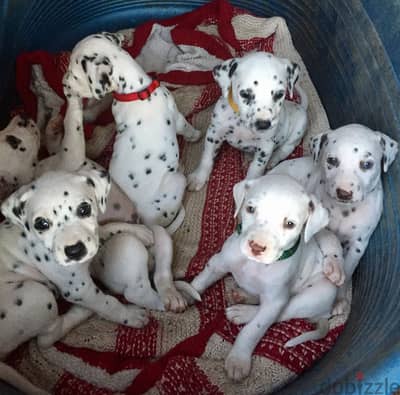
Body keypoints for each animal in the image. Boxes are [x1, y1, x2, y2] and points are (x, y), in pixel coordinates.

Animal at [0, 169, 200, 394]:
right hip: (38, 294)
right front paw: (130, 316)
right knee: (45, 339)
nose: (75, 251)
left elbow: (103, 228)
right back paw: (82, 311)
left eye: (84, 209)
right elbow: (108, 303)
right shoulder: (79, 289)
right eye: (41, 223)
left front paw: (135, 230)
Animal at [63, 33, 202, 235]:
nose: (64, 84)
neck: (137, 91)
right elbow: (188, 129)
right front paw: (197, 135)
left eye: (73, 75)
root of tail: (146, 222)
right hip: (177, 180)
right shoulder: (177, 117)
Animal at [189, 51, 308, 192]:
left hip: (298, 130)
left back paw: (273, 159)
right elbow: (206, 157)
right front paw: (198, 177)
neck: (241, 123)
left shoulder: (265, 147)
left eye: (279, 94)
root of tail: (301, 107)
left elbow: (255, 170)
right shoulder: (214, 134)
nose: (263, 124)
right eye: (245, 94)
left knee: (287, 148)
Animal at [190, 175, 344, 382]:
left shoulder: (274, 300)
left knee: (283, 313)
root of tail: (324, 314)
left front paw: (238, 360)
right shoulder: (219, 263)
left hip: (316, 293)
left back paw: (241, 312)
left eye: (290, 224)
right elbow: (202, 279)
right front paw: (184, 293)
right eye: (250, 209)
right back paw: (242, 296)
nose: (256, 247)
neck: (254, 264)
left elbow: (253, 330)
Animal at [270, 125, 398, 314]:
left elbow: (349, 269)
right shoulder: (317, 225)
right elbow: (330, 237)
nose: (344, 193)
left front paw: (340, 299)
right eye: (332, 160)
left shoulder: (358, 244)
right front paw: (335, 265)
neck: (343, 210)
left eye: (367, 164)